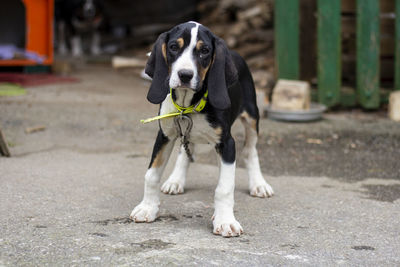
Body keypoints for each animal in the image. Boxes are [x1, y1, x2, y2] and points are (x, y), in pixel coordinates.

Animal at [130, 21, 274, 239]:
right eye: (173, 47)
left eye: (204, 51)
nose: (185, 75)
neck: (188, 105)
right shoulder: (165, 135)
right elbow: (152, 175)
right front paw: (147, 208)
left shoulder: (226, 143)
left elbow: (224, 187)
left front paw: (225, 220)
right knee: (185, 150)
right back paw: (176, 180)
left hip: (251, 116)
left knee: (250, 151)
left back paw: (258, 184)